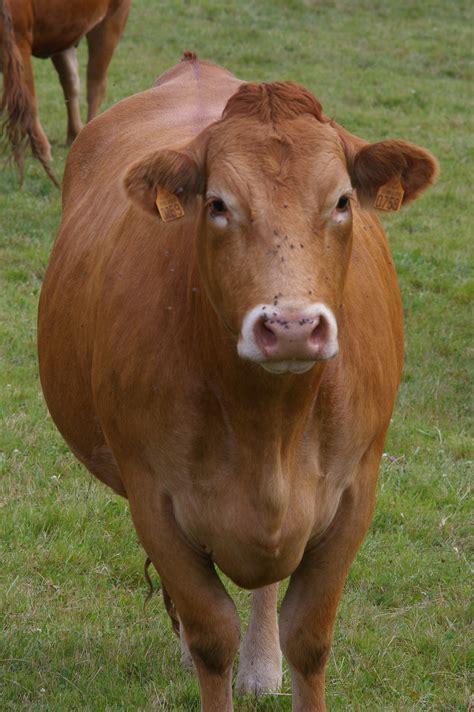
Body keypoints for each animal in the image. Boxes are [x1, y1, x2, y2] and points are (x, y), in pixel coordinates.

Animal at [0, 0, 130, 184]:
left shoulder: (19, 38)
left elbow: (29, 100)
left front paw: (42, 151)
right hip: (65, 35)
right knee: (71, 81)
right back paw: (74, 135)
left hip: (111, 19)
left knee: (95, 83)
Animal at [37, 52, 436, 708]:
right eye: (218, 204)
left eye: (343, 200)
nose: (293, 326)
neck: (268, 421)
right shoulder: (153, 496)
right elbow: (210, 636)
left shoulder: (356, 492)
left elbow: (309, 638)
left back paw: (261, 663)